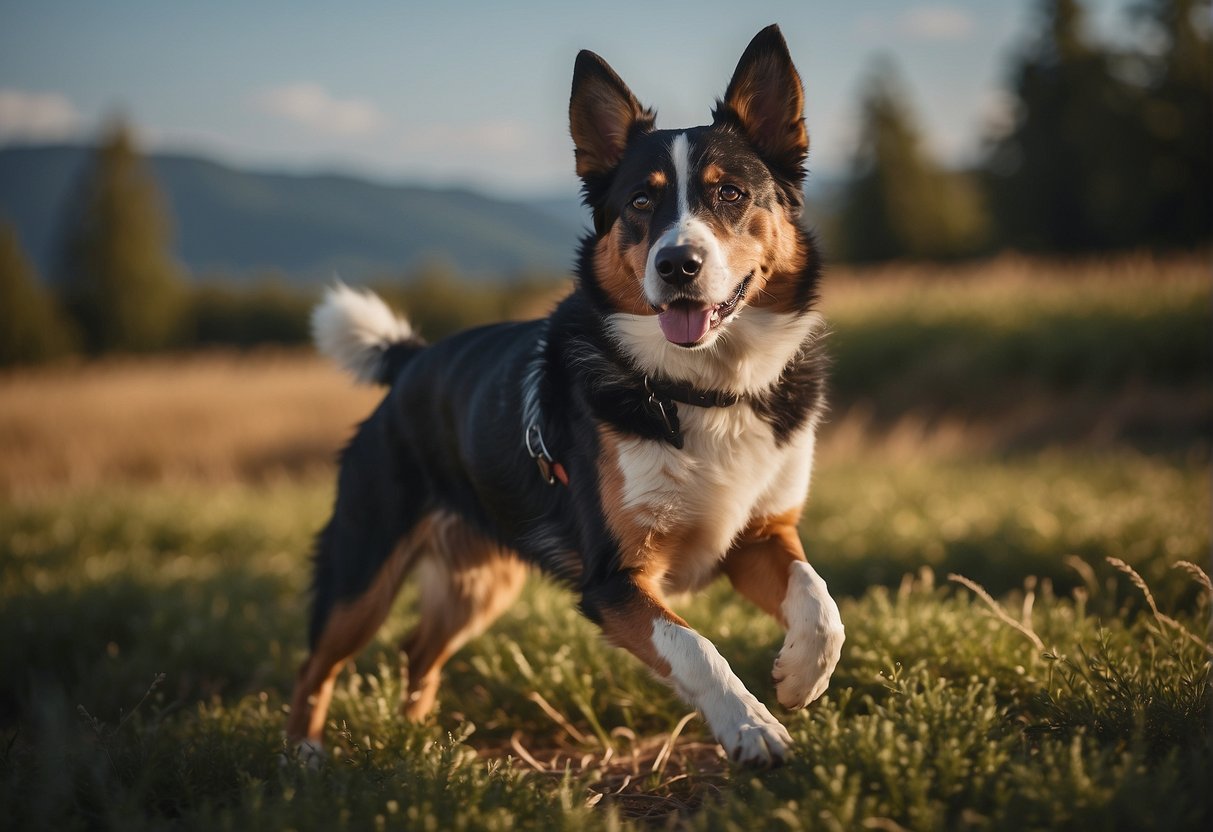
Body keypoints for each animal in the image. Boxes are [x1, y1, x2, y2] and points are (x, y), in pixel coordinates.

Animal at [286, 24, 844, 771]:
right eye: (641, 202)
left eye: (730, 194)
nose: (677, 265)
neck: (702, 389)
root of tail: (411, 362)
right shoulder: (614, 577)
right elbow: (694, 648)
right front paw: (750, 726)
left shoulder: (758, 535)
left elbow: (818, 599)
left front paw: (799, 674)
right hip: (364, 567)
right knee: (316, 664)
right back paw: (304, 756)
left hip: (481, 582)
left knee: (416, 650)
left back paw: (421, 745)